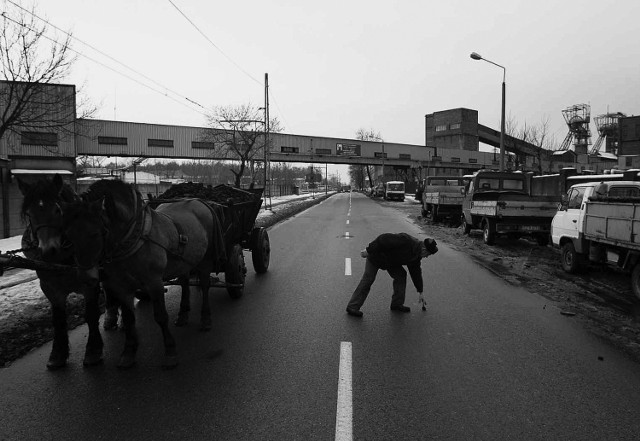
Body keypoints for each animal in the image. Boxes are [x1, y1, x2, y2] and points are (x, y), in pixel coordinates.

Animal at [17, 174, 104, 368]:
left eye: (58, 211)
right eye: (29, 214)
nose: (48, 251)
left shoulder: (90, 283)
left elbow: (91, 313)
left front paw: (93, 350)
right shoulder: (49, 287)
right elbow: (57, 319)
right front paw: (57, 353)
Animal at [60, 179, 225, 368]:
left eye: (96, 233)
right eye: (68, 235)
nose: (85, 278)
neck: (133, 238)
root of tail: (200, 202)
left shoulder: (154, 282)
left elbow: (161, 316)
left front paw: (170, 351)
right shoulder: (121, 286)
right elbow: (129, 318)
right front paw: (128, 352)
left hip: (206, 259)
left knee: (204, 285)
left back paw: (205, 318)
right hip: (183, 261)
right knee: (184, 283)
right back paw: (183, 315)